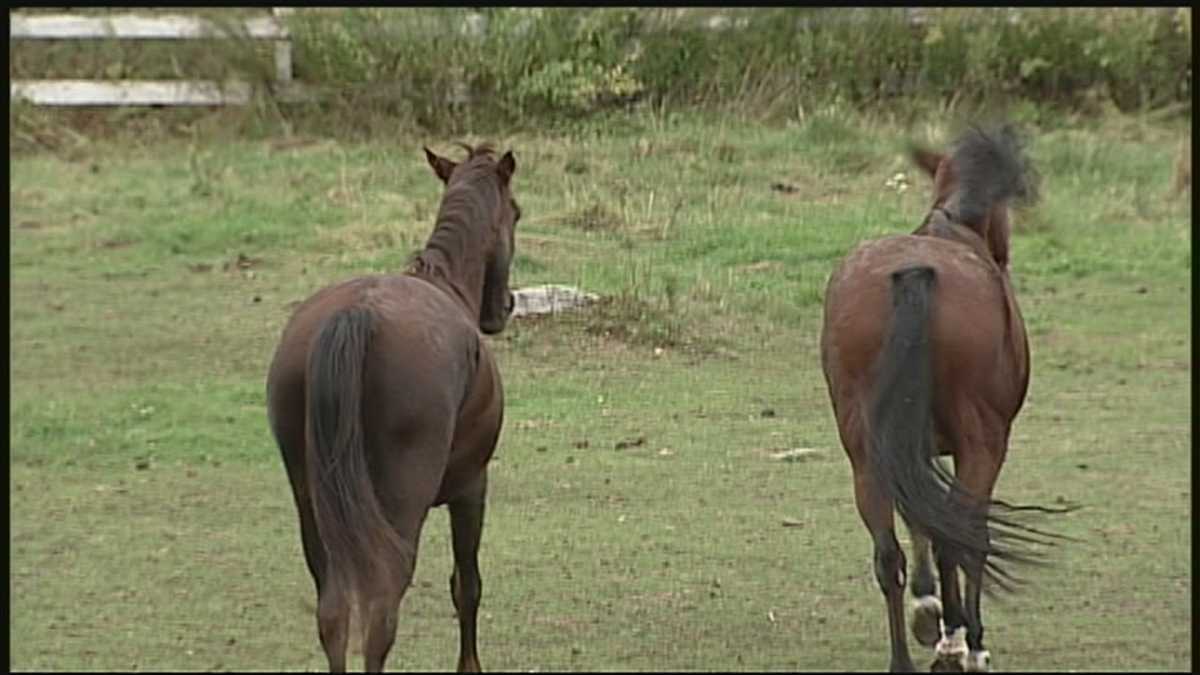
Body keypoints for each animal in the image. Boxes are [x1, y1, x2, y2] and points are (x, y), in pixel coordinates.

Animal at [266, 143, 520, 672]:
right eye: (516, 212)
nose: (504, 306)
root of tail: (356, 314)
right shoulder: (472, 486)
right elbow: (467, 587)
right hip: (401, 507)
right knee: (381, 608)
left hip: (314, 507)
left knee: (333, 610)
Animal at [819, 125, 1067, 672]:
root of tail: (915, 273)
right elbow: (955, 532)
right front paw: (959, 632)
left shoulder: (910, 447)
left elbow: (920, 520)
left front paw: (927, 609)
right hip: (982, 445)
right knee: (964, 538)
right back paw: (963, 645)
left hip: (866, 452)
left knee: (887, 552)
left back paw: (904, 657)